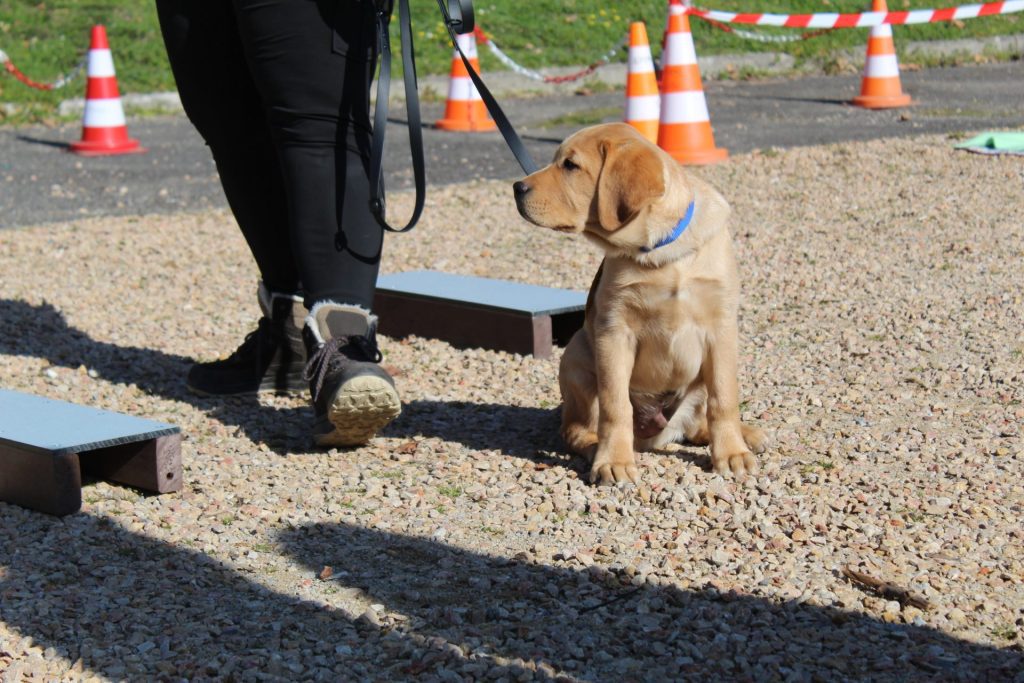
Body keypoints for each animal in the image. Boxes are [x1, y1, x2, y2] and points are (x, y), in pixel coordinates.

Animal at [513, 123, 765, 485]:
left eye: (571, 165)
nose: (516, 187)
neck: (661, 252)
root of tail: (655, 435)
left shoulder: (721, 327)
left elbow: (724, 397)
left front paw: (731, 453)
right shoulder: (614, 331)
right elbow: (616, 405)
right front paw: (613, 462)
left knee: (697, 423)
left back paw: (745, 434)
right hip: (576, 355)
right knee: (577, 430)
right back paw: (597, 447)